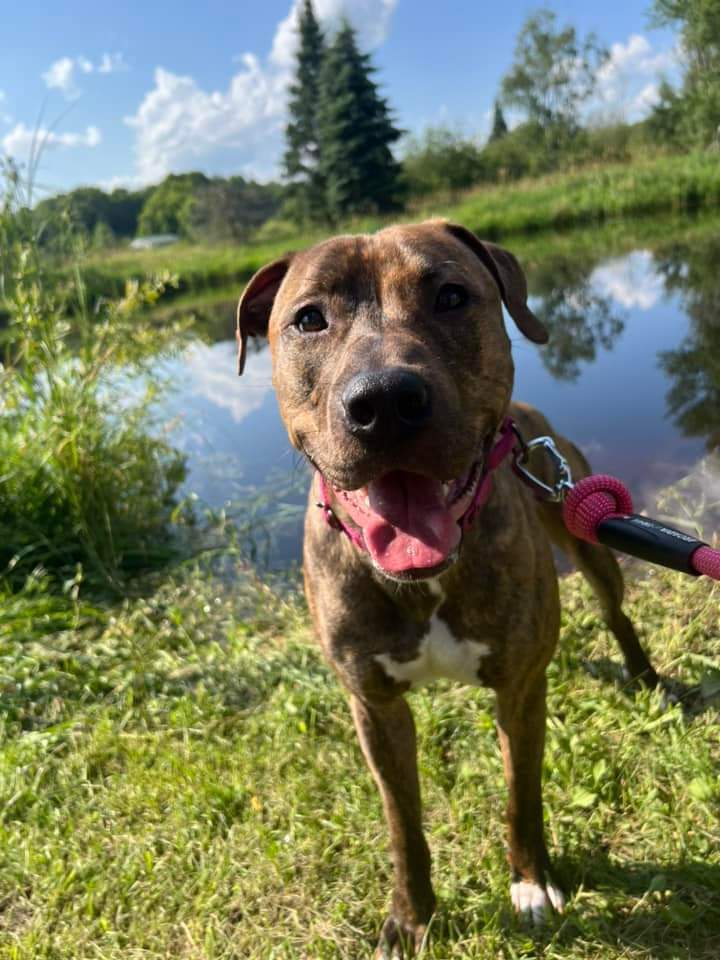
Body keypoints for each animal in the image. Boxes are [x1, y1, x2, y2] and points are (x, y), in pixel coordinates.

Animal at [236, 221, 660, 956]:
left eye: (452, 296)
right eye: (309, 319)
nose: (383, 401)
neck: (425, 580)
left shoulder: (519, 692)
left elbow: (522, 796)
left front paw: (530, 884)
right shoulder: (374, 708)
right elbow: (403, 825)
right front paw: (411, 918)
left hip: (588, 528)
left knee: (616, 613)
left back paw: (644, 676)